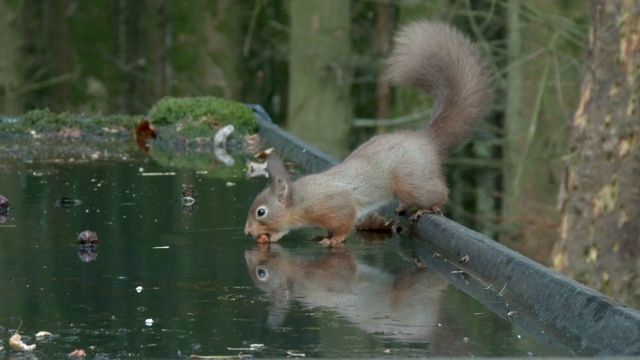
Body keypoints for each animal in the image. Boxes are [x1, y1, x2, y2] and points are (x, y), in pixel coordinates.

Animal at [244, 20, 490, 245]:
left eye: (261, 212)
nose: (247, 232)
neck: (301, 202)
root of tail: (424, 138)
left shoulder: (337, 207)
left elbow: (344, 224)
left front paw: (332, 240)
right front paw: (320, 236)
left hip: (412, 181)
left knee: (438, 192)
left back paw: (427, 208)